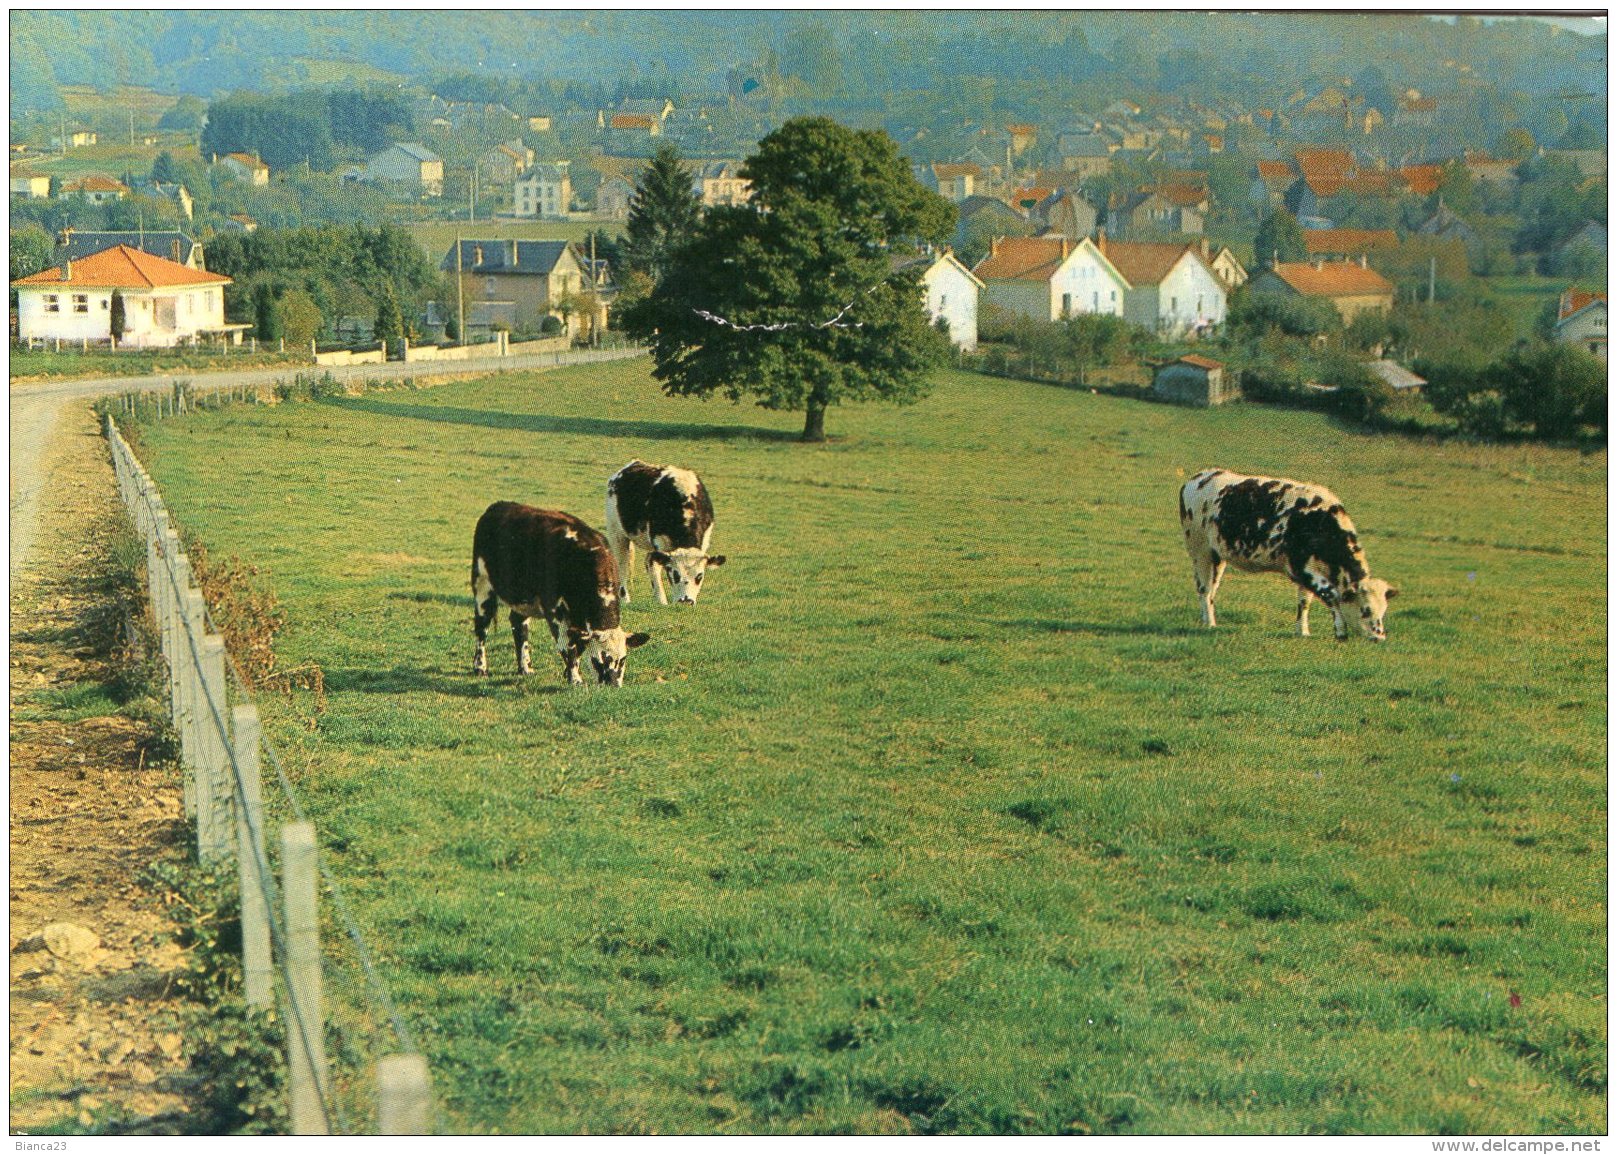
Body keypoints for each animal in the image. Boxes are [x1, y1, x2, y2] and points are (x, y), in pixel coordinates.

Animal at [472, 498, 646, 679]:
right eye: (599, 660)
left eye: (623, 659)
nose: (613, 684)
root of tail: (499, 505)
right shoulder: (554, 611)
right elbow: (567, 646)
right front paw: (575, 677)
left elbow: (577, 647)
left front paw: (568, 672)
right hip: (482, 583)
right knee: (481, 626)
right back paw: (480, 667)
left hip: (522, 599)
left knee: (519, 626)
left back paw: (525, 667)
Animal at [604, 456, 730, 608]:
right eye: (674, 574)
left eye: (700, 576)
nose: (685, 601)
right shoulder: (659, 544)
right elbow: (653, 563)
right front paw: (661, 601)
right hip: (616, 533)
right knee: (621, 565)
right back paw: (624, 599)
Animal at [1183, 472, 1397, 643]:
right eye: (1365, 609)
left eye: (1383, 610)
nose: (1379, 637)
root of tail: (1200, 477)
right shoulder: (1300, 567)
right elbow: (1331, 595)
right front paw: (1341, 631)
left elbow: (1304, 602)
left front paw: (1302, 631)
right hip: (1200, 550)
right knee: (1203, 589)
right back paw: (1210, 624)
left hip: (1217, 557)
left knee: (1210, 590)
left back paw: (1205, 619)